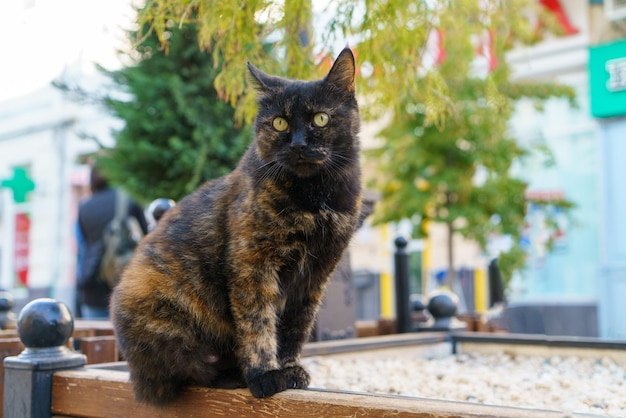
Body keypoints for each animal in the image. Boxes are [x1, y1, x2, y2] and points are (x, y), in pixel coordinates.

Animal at [109, 47, 358, 406]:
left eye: (320, 119)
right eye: (279, 122)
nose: (298, 145)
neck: (314, 197)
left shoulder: (315, 274)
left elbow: (296, 327)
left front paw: (290, 369)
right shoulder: (252, 264)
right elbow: (257, 322)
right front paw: (265, 375)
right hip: (158, 304)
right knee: (188, 369)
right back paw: (234, 375)